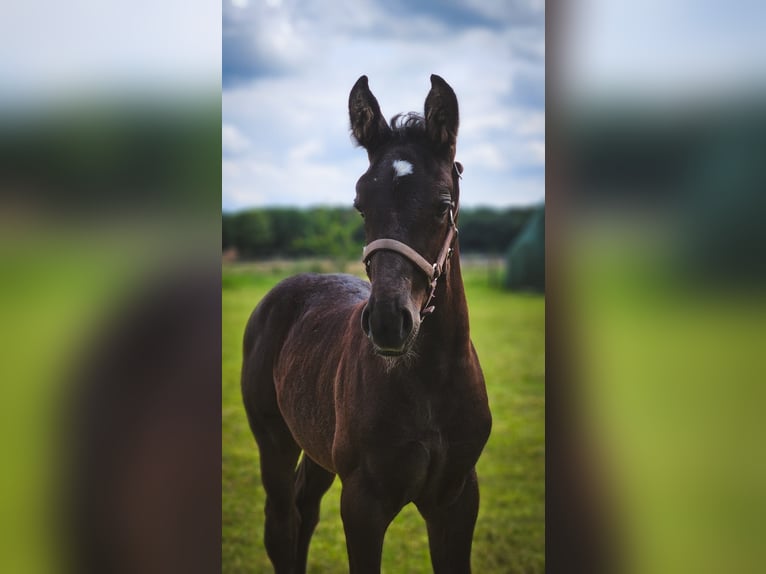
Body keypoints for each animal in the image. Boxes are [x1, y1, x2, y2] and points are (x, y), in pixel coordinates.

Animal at [243, 76, 496, 574]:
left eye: (443, 205)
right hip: (274, 440)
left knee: (304, 508)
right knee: (281, 523)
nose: (387, 323)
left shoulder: (458, 499)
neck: (429, 383)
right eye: (361, 205)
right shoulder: (363, 502)